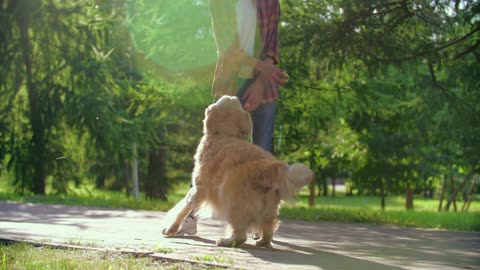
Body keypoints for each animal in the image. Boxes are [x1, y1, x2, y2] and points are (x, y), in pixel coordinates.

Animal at [162, 96, 316, 248]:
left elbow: (183, 209)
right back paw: (260, 242)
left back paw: (225, 241)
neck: (225, 134)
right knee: (267, 232)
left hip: (230, 199)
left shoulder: (199, 189)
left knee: (241, 235)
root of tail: (270, 168)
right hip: (268, 210)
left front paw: (171, 229)